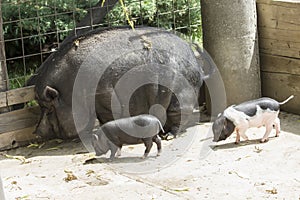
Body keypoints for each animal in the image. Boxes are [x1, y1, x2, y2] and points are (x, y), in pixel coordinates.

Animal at [29, 26, 209, 139]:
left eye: (49, 109)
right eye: (40, 106)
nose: (36, 132)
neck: (73, 92)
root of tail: (198, 66)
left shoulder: (105, 94)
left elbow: (109, 116)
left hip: (181, 94)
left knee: (179, 116)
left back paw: (169, 136)